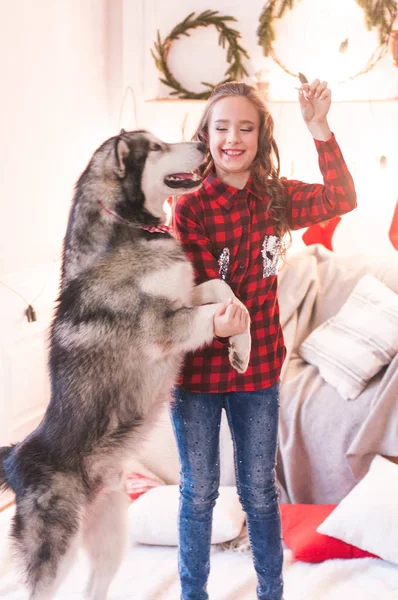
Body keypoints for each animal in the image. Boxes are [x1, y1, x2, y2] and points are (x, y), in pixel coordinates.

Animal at [0, 132, 249, 600]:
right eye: (155, 147)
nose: (200, 141)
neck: (129, 230)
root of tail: (16, 456)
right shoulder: (163, 326)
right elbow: (216, 307)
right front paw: (236, 330)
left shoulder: (184, 296)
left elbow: (221, 288)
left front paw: (240, 344)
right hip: (58, 549)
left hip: (112, 538)